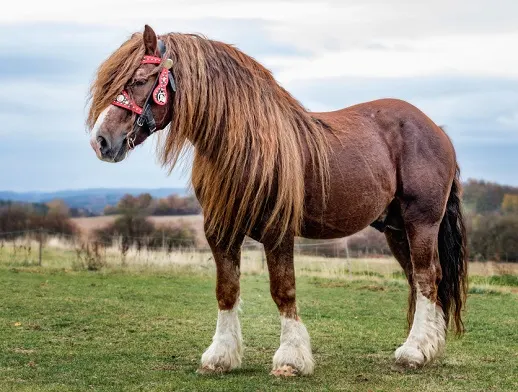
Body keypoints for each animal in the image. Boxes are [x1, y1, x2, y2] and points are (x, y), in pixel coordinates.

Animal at [87, 24, 470, 376]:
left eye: (139, 80)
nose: (101, 141)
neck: (243, 144)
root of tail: (436, 130)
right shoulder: (220, 232)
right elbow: (227, 290)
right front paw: (220, 357)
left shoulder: (278, 232)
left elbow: (283, 290)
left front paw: (291, 360)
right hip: (395, 228)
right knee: (419, 279)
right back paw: (427, 347)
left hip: (421, 222)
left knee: (427, 278)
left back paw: (415, 352)